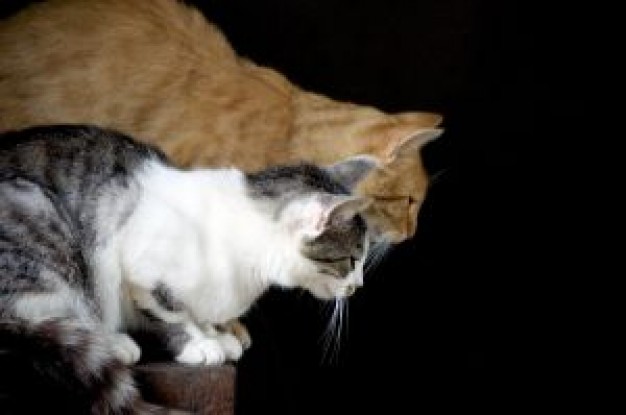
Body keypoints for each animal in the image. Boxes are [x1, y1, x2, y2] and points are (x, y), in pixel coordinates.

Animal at [0, 125, 376, 414]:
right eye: (352, 260)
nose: (358, 286)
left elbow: (200, 311)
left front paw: (215, 333)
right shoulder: (141, 268)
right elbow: (169, 312)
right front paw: (197, 343)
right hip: (39, 222)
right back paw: (111, 341)